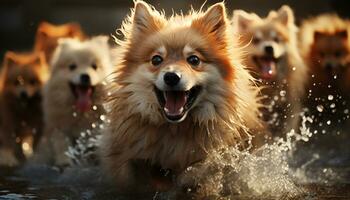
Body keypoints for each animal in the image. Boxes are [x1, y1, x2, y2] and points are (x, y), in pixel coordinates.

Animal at [36, 36, 112, 166]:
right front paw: (64, 161)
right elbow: (62, 144)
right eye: (72, 66)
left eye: (94, 66)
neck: (81, 113)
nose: (85, 76)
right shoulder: (59, 127)